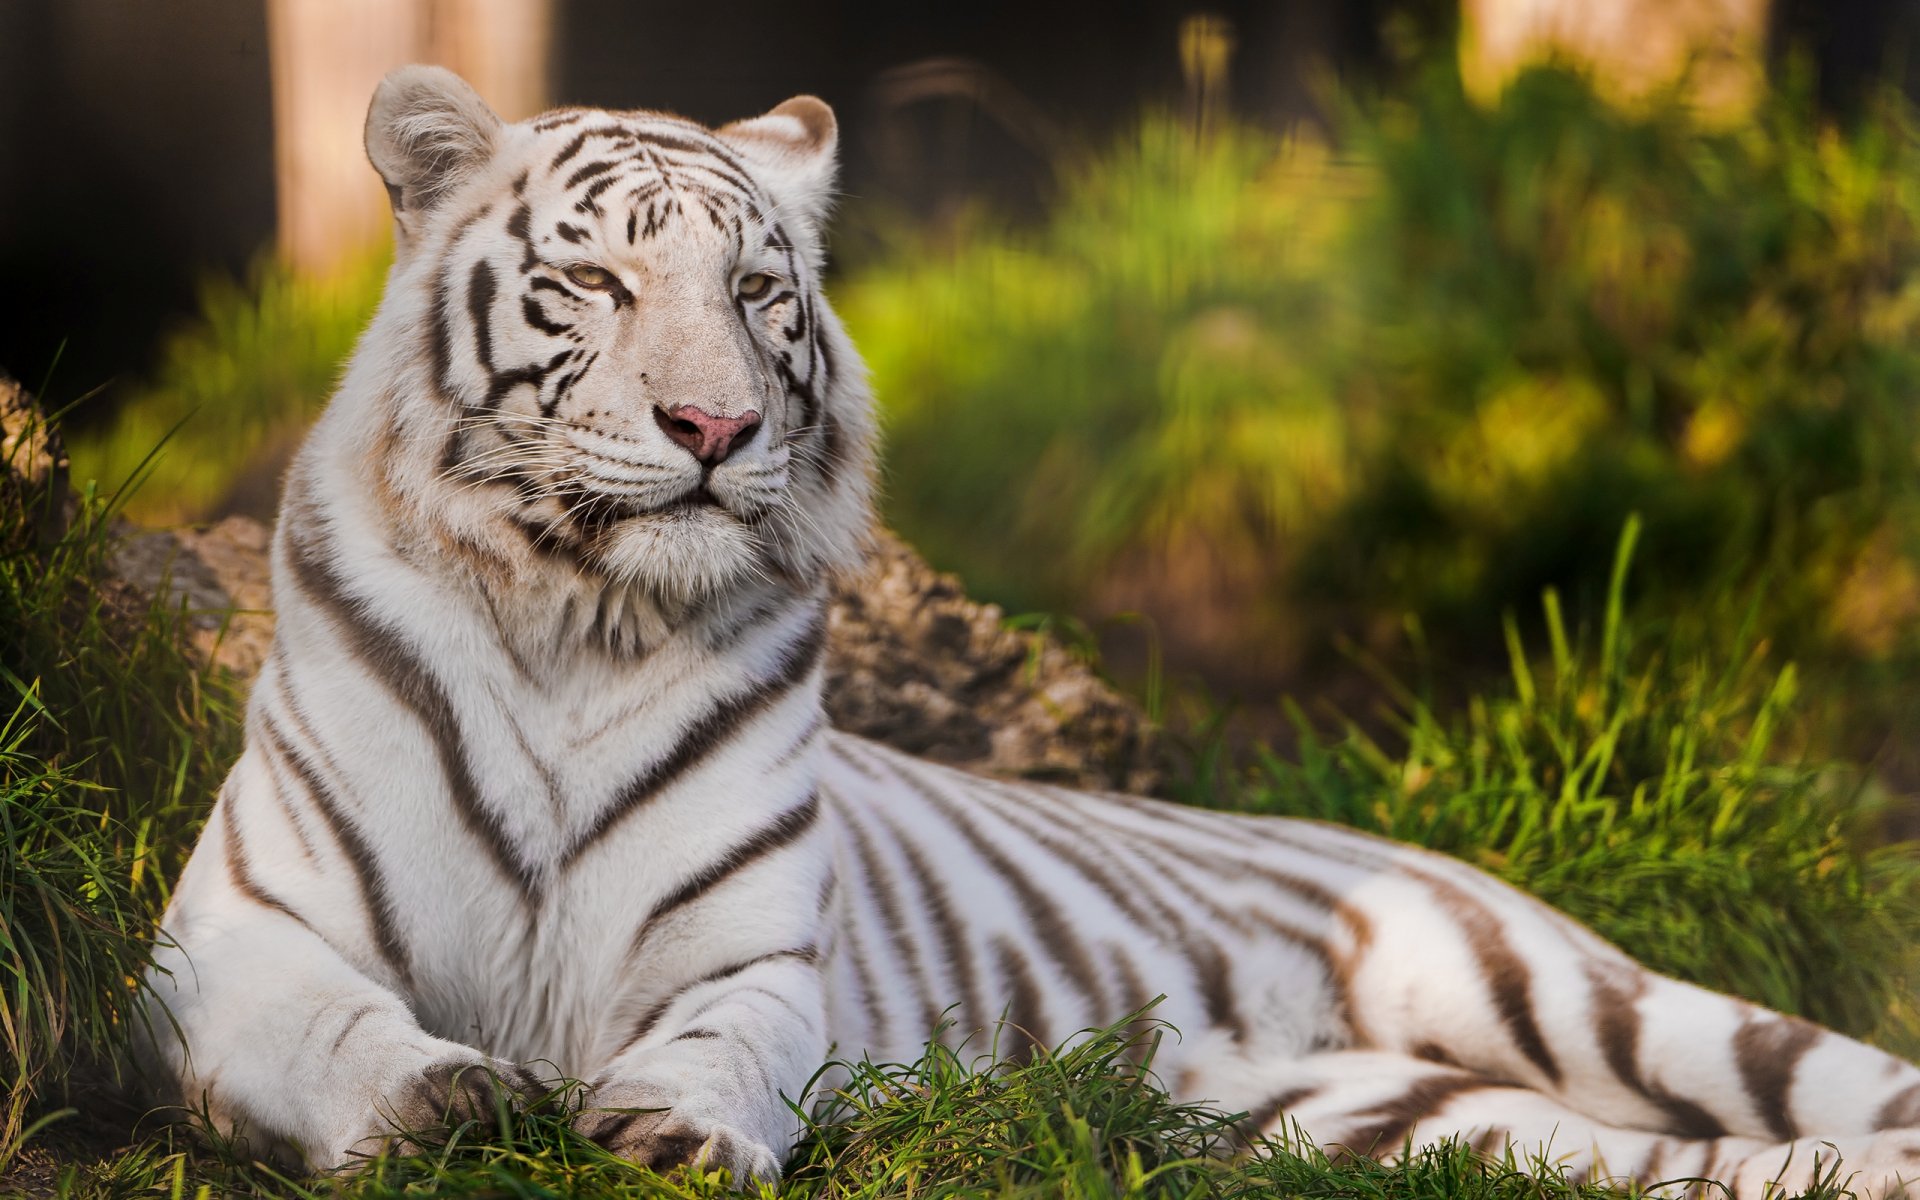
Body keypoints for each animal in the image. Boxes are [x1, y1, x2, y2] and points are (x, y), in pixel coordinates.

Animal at [138, 63, 1920, 1195]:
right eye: (594, 287)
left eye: (762, 295)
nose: (715, 428)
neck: (580, 616)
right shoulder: (234, 936)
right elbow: (341, 1030)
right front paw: (448, 1101)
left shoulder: (755, 955)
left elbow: (721, 1041)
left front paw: (666, 1126)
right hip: (1393, 1124)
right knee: (1679, 1167)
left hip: (1582, 996)